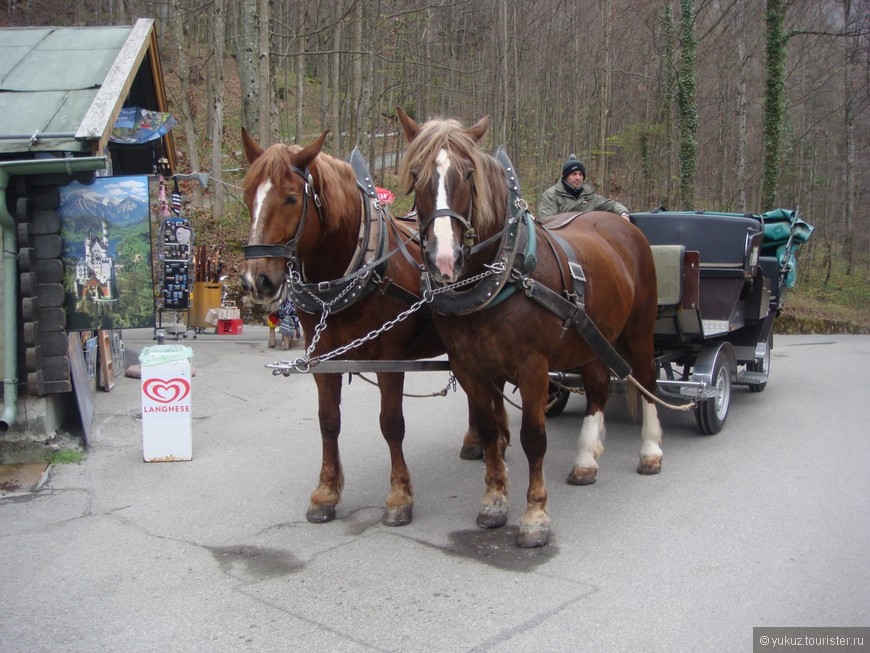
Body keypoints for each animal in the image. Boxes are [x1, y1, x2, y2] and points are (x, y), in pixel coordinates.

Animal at [242, 130, 508, 528]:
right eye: (247, 196)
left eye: (291, 197)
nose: (257, 280)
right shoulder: (322, 360)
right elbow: (328, 422)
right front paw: (326, 492)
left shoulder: (389, 359)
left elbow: (391, 423)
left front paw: (399, 496)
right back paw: (476, 440)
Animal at [398, 109, 664, 548]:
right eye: (416, 173)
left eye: (467, 174)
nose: (444, 259)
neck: (504, 272)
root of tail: (623, 223)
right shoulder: (470, 368)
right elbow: (490, 431)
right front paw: (493, 502)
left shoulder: (533, 367)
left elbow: (533, 439)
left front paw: (535, 515)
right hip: (591, 337)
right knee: (597, 388)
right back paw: (586, 460)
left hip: (639, 329)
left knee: (646, 379)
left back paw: (651, 452)